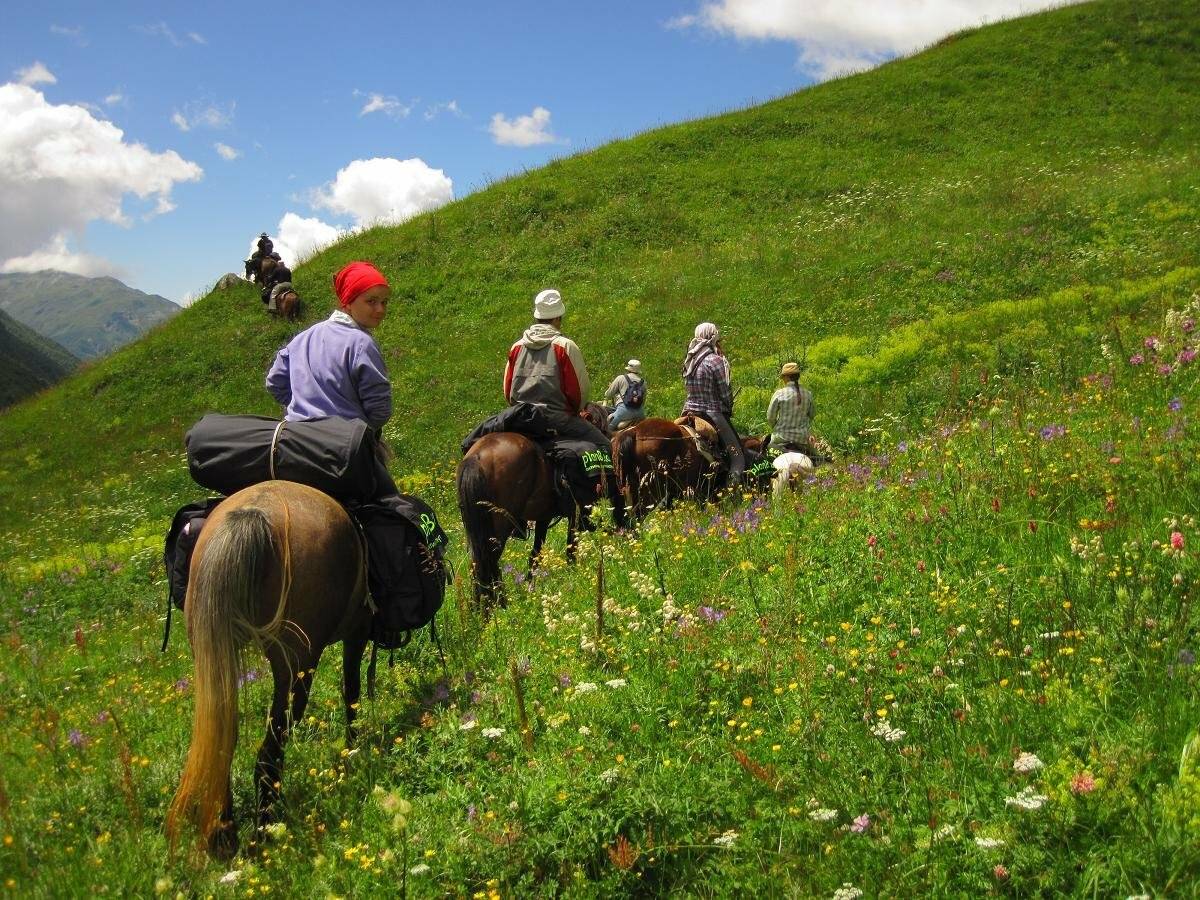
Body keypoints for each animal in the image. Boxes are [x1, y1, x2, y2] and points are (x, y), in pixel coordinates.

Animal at [166, 482, 367, 864]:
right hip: (296, 665)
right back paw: (263, 836)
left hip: (214, 655)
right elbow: (352, 693)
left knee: (222, 745)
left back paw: (224, 835)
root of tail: (251, 515)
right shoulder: (357, 633)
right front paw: (355, 749)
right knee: (269, 755)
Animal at [456, 403, 624, 609]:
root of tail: (478, 456)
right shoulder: (575, 514)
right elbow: (570, 549)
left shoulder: (544, 516)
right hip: (498, 529)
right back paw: (497, 606)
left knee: (478, 565)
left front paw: (531, 587)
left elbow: (535, 555)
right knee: (488, 563)